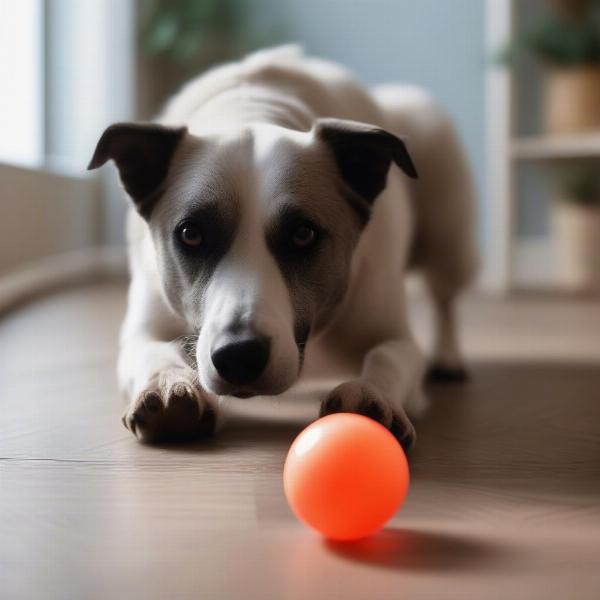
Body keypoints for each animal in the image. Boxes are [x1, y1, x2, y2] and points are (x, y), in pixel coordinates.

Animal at [89, 48, 476, 450]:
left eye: (303, 234)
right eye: (190, 234)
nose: (239, 355)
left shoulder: (390, 329)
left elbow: (389, 355)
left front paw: (372, 395)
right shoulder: (144, 328)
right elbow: (154, 351)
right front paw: (169, 385)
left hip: (449, 237)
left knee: (445, 298)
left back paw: (448, 357)